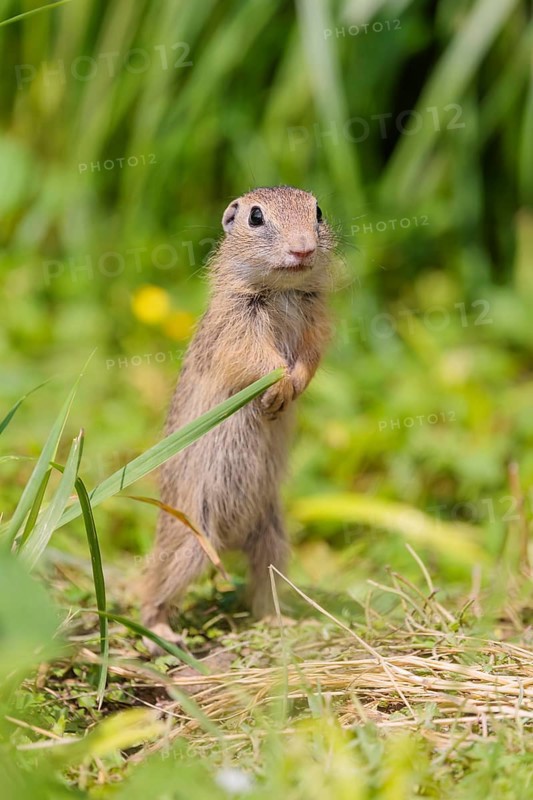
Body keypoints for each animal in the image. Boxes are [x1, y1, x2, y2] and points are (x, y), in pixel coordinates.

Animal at [140, 185, 335, 653]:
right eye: (255, 217)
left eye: (318, 211)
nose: (303, 249)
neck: (283, 290)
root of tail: (229, 541)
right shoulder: (237, 327)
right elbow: (260, 360)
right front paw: (278, 390)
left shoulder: (316, 323)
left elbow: (310, 357)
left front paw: (293, 388)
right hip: (191, 542)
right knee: (154, 588)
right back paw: (160, 632)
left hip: (273, 539)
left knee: (262, 587)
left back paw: (280, 622)